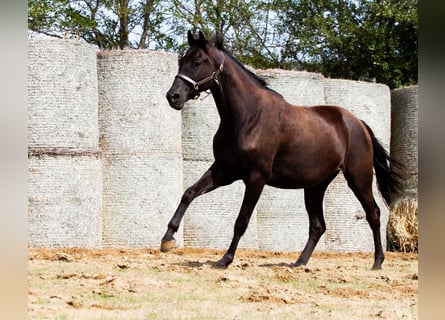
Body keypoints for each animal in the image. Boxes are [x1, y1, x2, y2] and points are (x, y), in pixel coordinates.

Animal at [160, 30, 402, 270]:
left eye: (197, 62)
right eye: (181, 61)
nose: (173, 96)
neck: (248, 117)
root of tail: (358, 123)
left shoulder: (256, 177)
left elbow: (241, 221)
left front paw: (225, 260)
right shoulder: (224, 170)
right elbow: (189, 193)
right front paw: (167, 240)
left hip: (358, 178)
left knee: (373, 214)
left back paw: (377, 262)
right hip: (315, 186)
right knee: (318, 225)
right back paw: (299, 263)